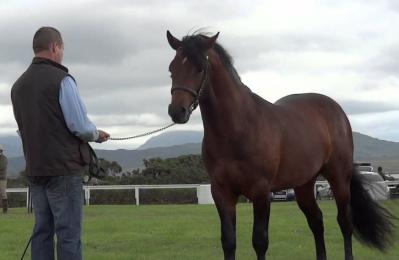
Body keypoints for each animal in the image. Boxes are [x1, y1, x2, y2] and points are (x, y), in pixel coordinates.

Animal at [166, 31, 396, 260]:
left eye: (200, 68)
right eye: (171, 69)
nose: (177, 111)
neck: (239, 128)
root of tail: (335, 110)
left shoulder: (261, 191)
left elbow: (260, 241)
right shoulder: (221, 192)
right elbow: (228, 241)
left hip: (339, 178)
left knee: (344, 222)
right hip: (304, 185)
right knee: (316, 221)